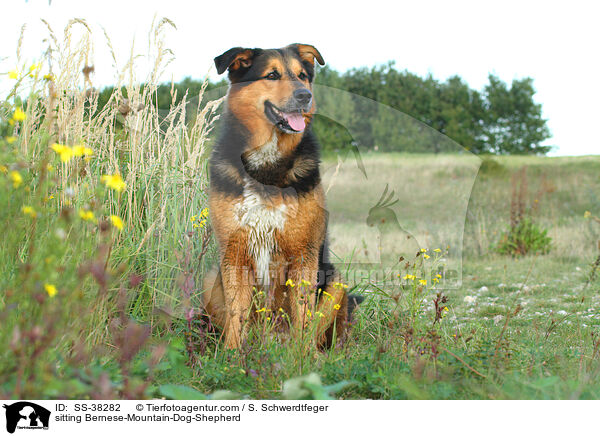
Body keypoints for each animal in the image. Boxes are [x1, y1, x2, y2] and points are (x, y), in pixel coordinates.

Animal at [202, 44, 360, 350]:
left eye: (302, 76)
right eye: (272, 75)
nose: (304, 96)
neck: (267, 164)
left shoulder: (303, 255)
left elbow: (303, 316)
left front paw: (301, 358)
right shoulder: (234, 255)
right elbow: (236, 316)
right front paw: (230, 356)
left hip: (335, 282)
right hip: (211, 278)